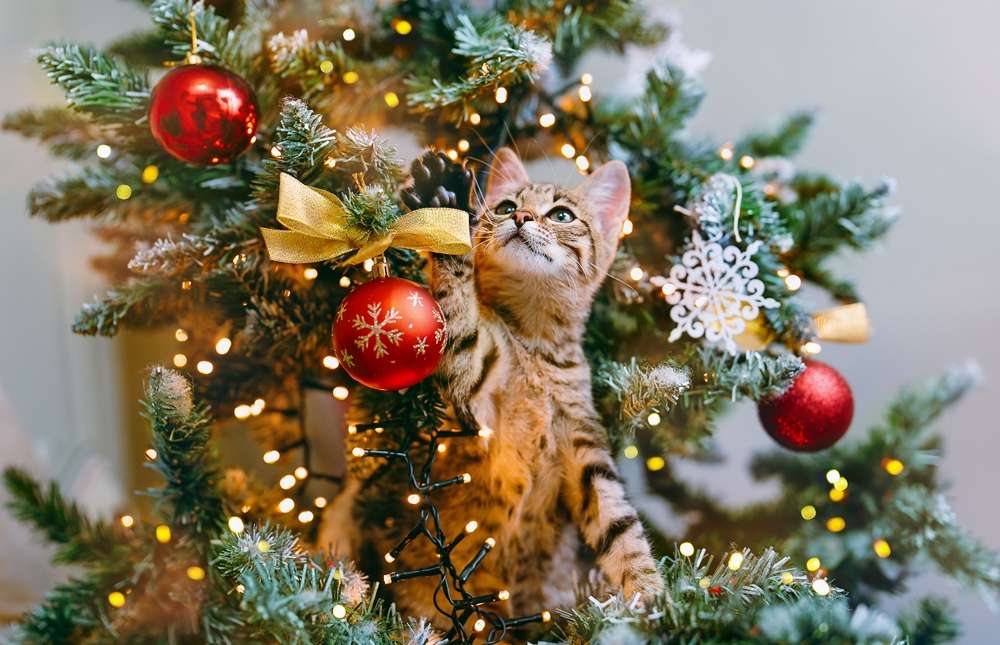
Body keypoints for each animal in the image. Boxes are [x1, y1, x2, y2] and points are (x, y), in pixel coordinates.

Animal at [322, 148, 664, 628]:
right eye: (504, 207)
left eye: (561, 214)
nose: (520, 217)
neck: (533, 345)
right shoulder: (476, 385)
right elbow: (459, 316)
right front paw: (443, 207)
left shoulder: (586, 448)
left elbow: (621, 526)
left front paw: (651, 595)